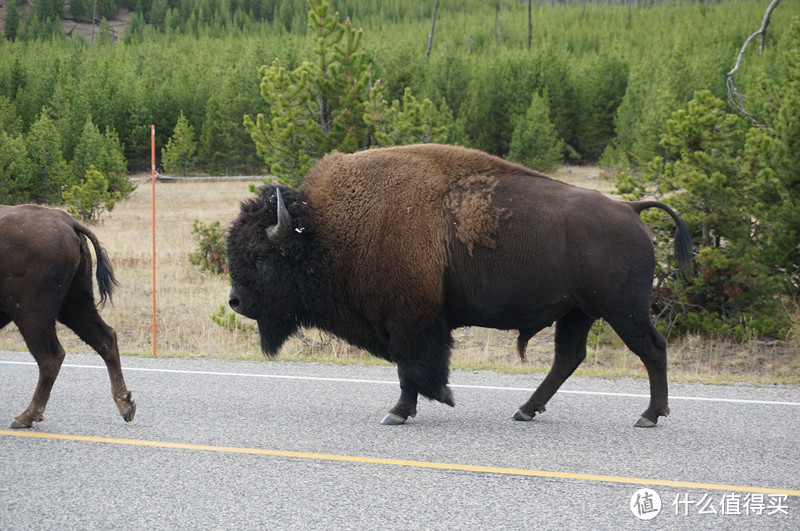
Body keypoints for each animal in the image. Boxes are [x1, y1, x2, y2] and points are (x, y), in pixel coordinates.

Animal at [0, 204, 136, 428]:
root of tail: (67, 221)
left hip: (32, 314)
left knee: (50, 356)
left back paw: (24, 418)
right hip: (74, 304)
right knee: (105, 339)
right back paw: (126, 405)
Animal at [228, 144, 692, 428]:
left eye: (261, 257)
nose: (235, 302)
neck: (325, 231)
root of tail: (631, 208)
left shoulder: (410, 322)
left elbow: (411, 368)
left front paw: (408, 409)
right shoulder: (408, 323)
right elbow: (410, 369)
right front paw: (416, 406)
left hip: (621, 309)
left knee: (651, 349)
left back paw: (649, 415)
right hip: (577, 312)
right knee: (569, 357)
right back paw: (525, 410)